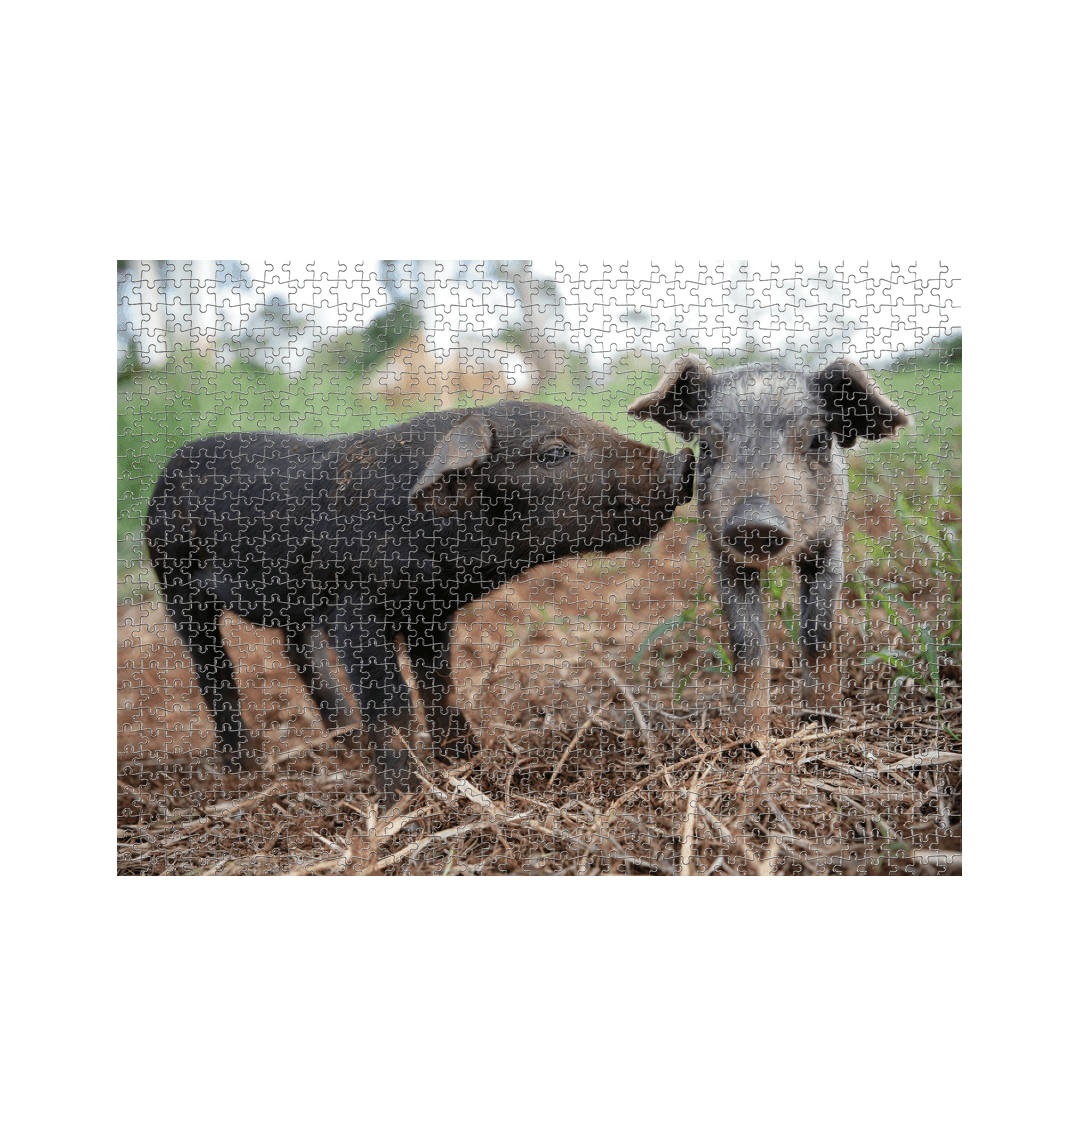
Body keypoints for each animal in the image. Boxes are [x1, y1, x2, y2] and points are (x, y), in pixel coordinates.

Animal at [146, 400, 695, 798]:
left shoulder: (430, 613)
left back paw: (345, 742)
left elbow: (440, 685)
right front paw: (404, 798)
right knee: (214, 670)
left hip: (293, 605)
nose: (683, 461)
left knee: (299, 651)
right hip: (175, 582)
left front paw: (467, 759)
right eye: (553, 453)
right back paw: (246, 770)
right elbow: (392, 702)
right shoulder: (354, 608)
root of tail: (168, 466)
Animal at [628, 355, 910, 739]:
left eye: (818, 440)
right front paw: (750, 733)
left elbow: (819, 631)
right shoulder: (723, 557)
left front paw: (824, 718)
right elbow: (747, 643)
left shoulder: (829, 544)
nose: (756, 521)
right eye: (707, 445)